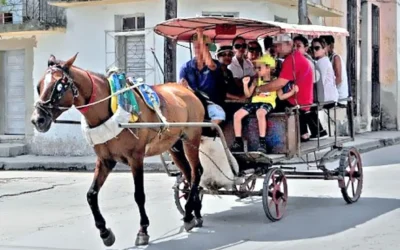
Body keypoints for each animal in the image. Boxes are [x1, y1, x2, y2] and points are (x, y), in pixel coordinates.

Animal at [29, 53, 206, 247]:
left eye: (59, 86)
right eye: (39, 86)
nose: (37, 120)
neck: (109, 108)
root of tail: (186, 89)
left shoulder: (136, 157)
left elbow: (139, 195)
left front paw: (143, 230)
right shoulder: (105, 160)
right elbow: (91, 195)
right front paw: (105, 232)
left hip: (191, 138)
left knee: (197, 172)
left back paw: (189, 213)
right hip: (174, 145)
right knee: (189, 175)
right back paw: (194, 214)